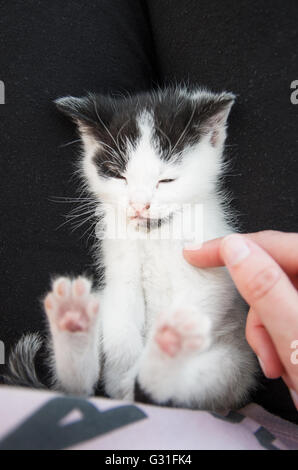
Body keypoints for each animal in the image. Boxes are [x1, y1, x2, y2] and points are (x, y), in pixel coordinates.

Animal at [4, 88, 258, 412]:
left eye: (166, 179)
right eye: (119, 175)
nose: (139, 205)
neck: (154, 233)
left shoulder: (212, 268)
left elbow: (202, 299)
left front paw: (166, 337)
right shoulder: (119, 268)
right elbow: (122, 312)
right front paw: (123, 361)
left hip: (231, 366)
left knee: (167, 390)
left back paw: (164, 353)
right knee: (80, 388)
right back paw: (73, 322)